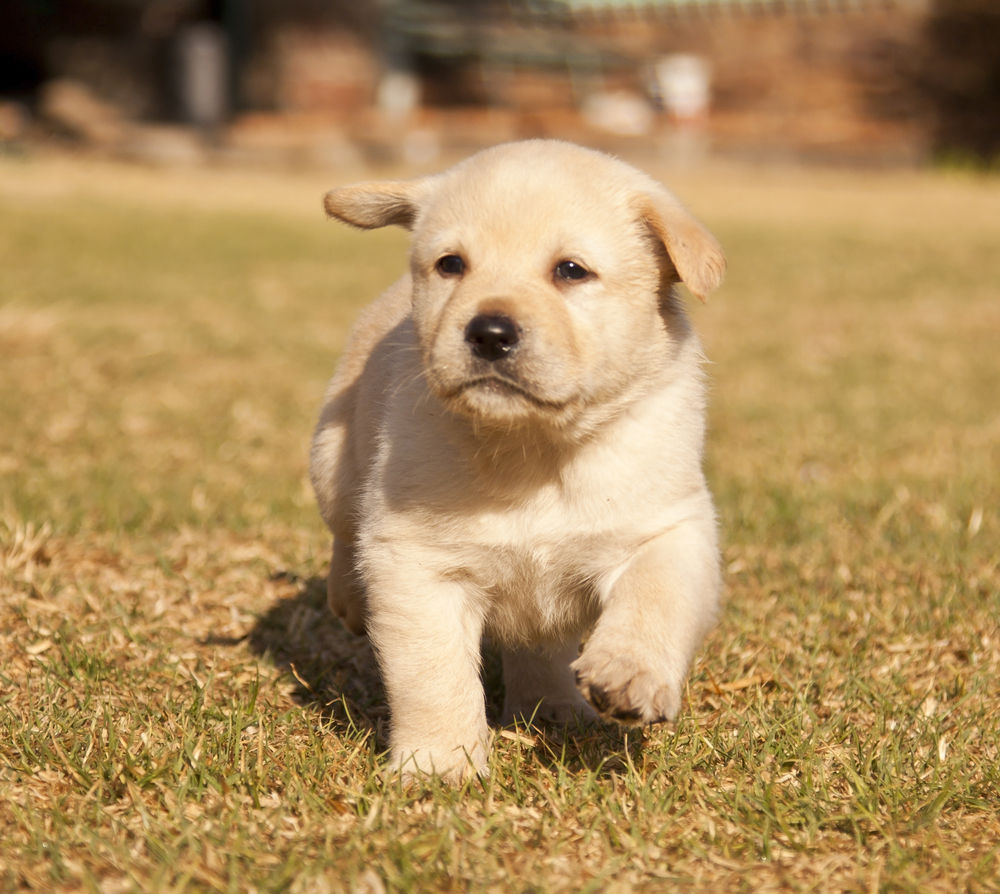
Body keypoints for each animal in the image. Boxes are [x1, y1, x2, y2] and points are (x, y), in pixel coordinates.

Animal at [308, 136, 724, 780]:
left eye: (571, 270)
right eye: (451, 265)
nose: (490, 333)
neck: (535, 450)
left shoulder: (670, 527)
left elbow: (655, 598)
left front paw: (629, 673)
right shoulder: (416, 562)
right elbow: (433, 675)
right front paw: (439, 764)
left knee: (541, 651)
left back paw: (558, 709)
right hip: (333, 458)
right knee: (343, 529)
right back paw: (350, 596)